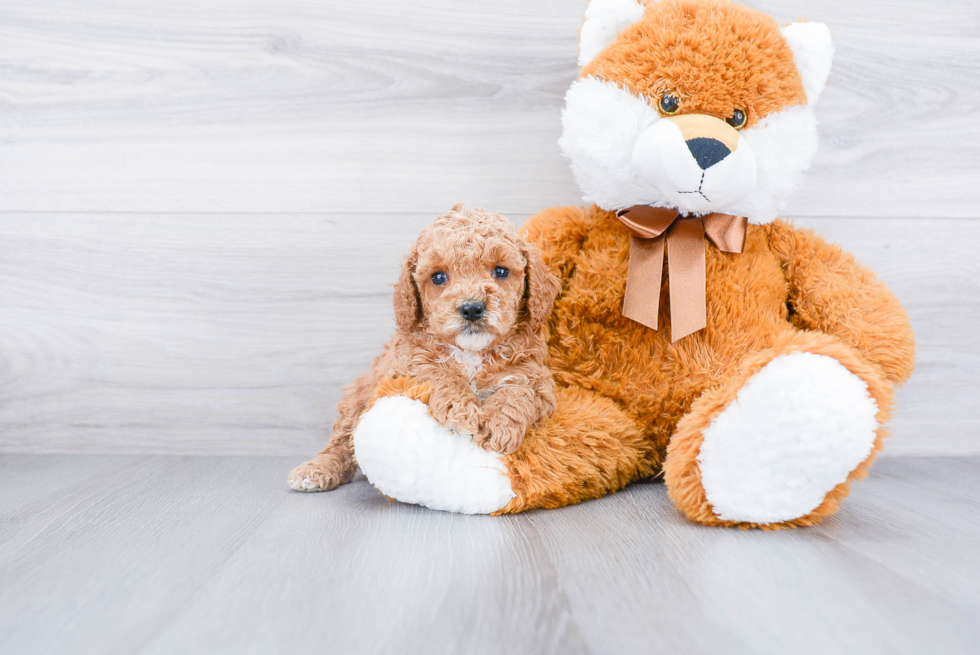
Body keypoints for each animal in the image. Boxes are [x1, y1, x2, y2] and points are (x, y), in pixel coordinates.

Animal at [288, 204, 564, 492]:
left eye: (501, 271)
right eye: (439, 277)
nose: (472, 308)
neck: (471, 354)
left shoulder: (536, 377)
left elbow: (519, 392)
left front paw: (498, 426)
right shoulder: (403, 367)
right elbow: (436, 374)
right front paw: (463, 412)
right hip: (356, 398)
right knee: (342, 441)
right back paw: (316, 470)